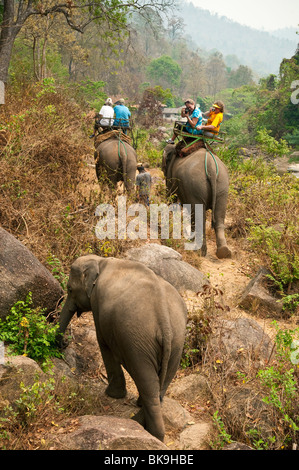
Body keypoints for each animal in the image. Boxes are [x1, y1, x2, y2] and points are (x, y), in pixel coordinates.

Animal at [56, 253, 188, 440]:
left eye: (69, 289)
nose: (64, 343)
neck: (100, 261)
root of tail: (164, 321)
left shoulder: (98, 303)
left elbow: (103, 343)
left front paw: (112, 395)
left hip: (138, 341)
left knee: (148, 384)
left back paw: (150, 432)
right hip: (177, 343)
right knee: (159, 386)